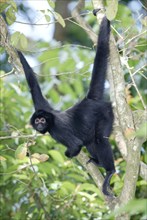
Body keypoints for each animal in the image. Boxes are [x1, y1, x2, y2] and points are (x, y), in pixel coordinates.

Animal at [17, 15, 115, 196]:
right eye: (37, 121)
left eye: (42, 121)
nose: (39, 125)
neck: (51, 120)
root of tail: (88, 100)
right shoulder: (44, 107)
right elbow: (33, 85)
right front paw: (15, 50)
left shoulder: (57, 130)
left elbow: (76, 145)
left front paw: (69, 153)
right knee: (91, 140)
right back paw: (98, 163)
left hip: (106, 115)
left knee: (99, 140)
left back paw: (110, 171)